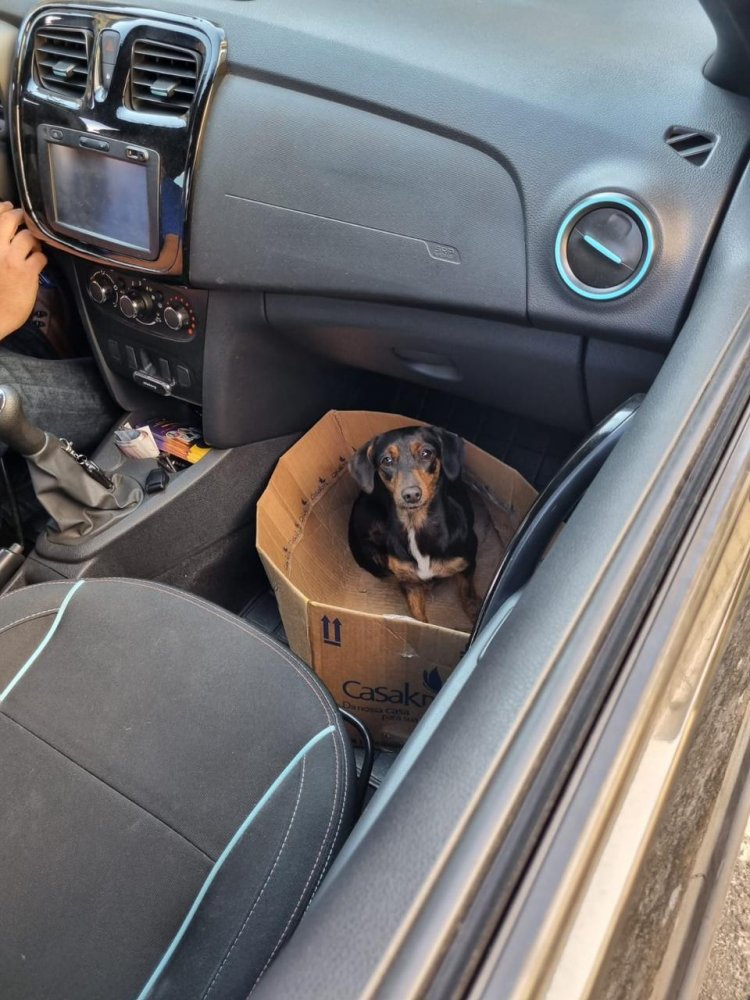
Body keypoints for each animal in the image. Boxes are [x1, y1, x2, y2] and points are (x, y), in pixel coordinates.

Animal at [348, 424, 482, 624]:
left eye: (426, 453)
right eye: (387, 460)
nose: (411, 494)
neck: (416, 525)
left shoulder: (467, 565)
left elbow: (468, 594)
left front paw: (475, 614)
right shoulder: (409, 583)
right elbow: (418, 618)